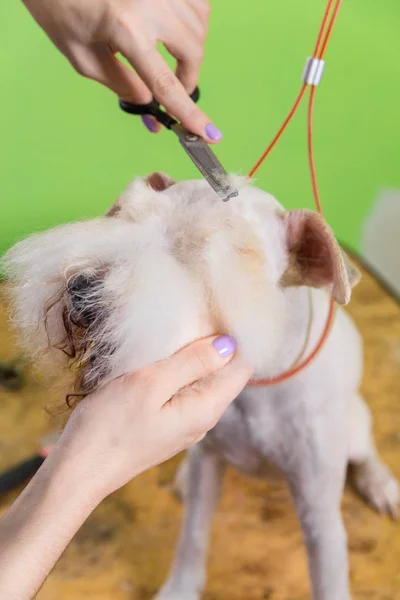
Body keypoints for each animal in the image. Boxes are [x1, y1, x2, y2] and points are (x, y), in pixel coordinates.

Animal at [2, 173, 396, 600]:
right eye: (124, 213)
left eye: (221, 252)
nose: (80, 288)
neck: (258, 387)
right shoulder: (208, 464)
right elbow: (192, 536)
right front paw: (179, 588)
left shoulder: (318, 506)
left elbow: (329, 572)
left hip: (354, 427)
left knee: (366, 450)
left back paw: (381, 484)